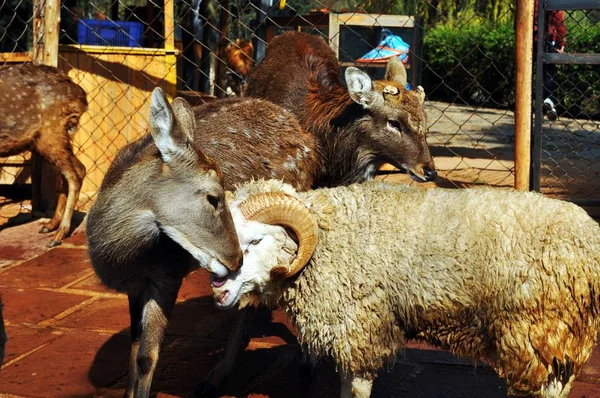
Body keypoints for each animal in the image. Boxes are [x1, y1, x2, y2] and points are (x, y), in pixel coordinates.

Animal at [0, 63, 88, 246]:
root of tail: (81, 97)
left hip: (51, 133)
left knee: (74, 174)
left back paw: (59, 234)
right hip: (51, 139)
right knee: (77, 168)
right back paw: (50, 225)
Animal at [86, 88, 324, 398]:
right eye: (213, 197)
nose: (235, 260)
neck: (122, 262)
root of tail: (309, 142)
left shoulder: (167, 273)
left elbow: (146, 356)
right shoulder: (135, 286)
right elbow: (134, 348)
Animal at [211, 180, 600, 398]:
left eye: (256, 240)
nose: (217, 290)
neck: (331, 236)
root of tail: (588, 242)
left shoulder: (362, 326)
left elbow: (355, 387)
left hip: (531, 331)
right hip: (565, 336)